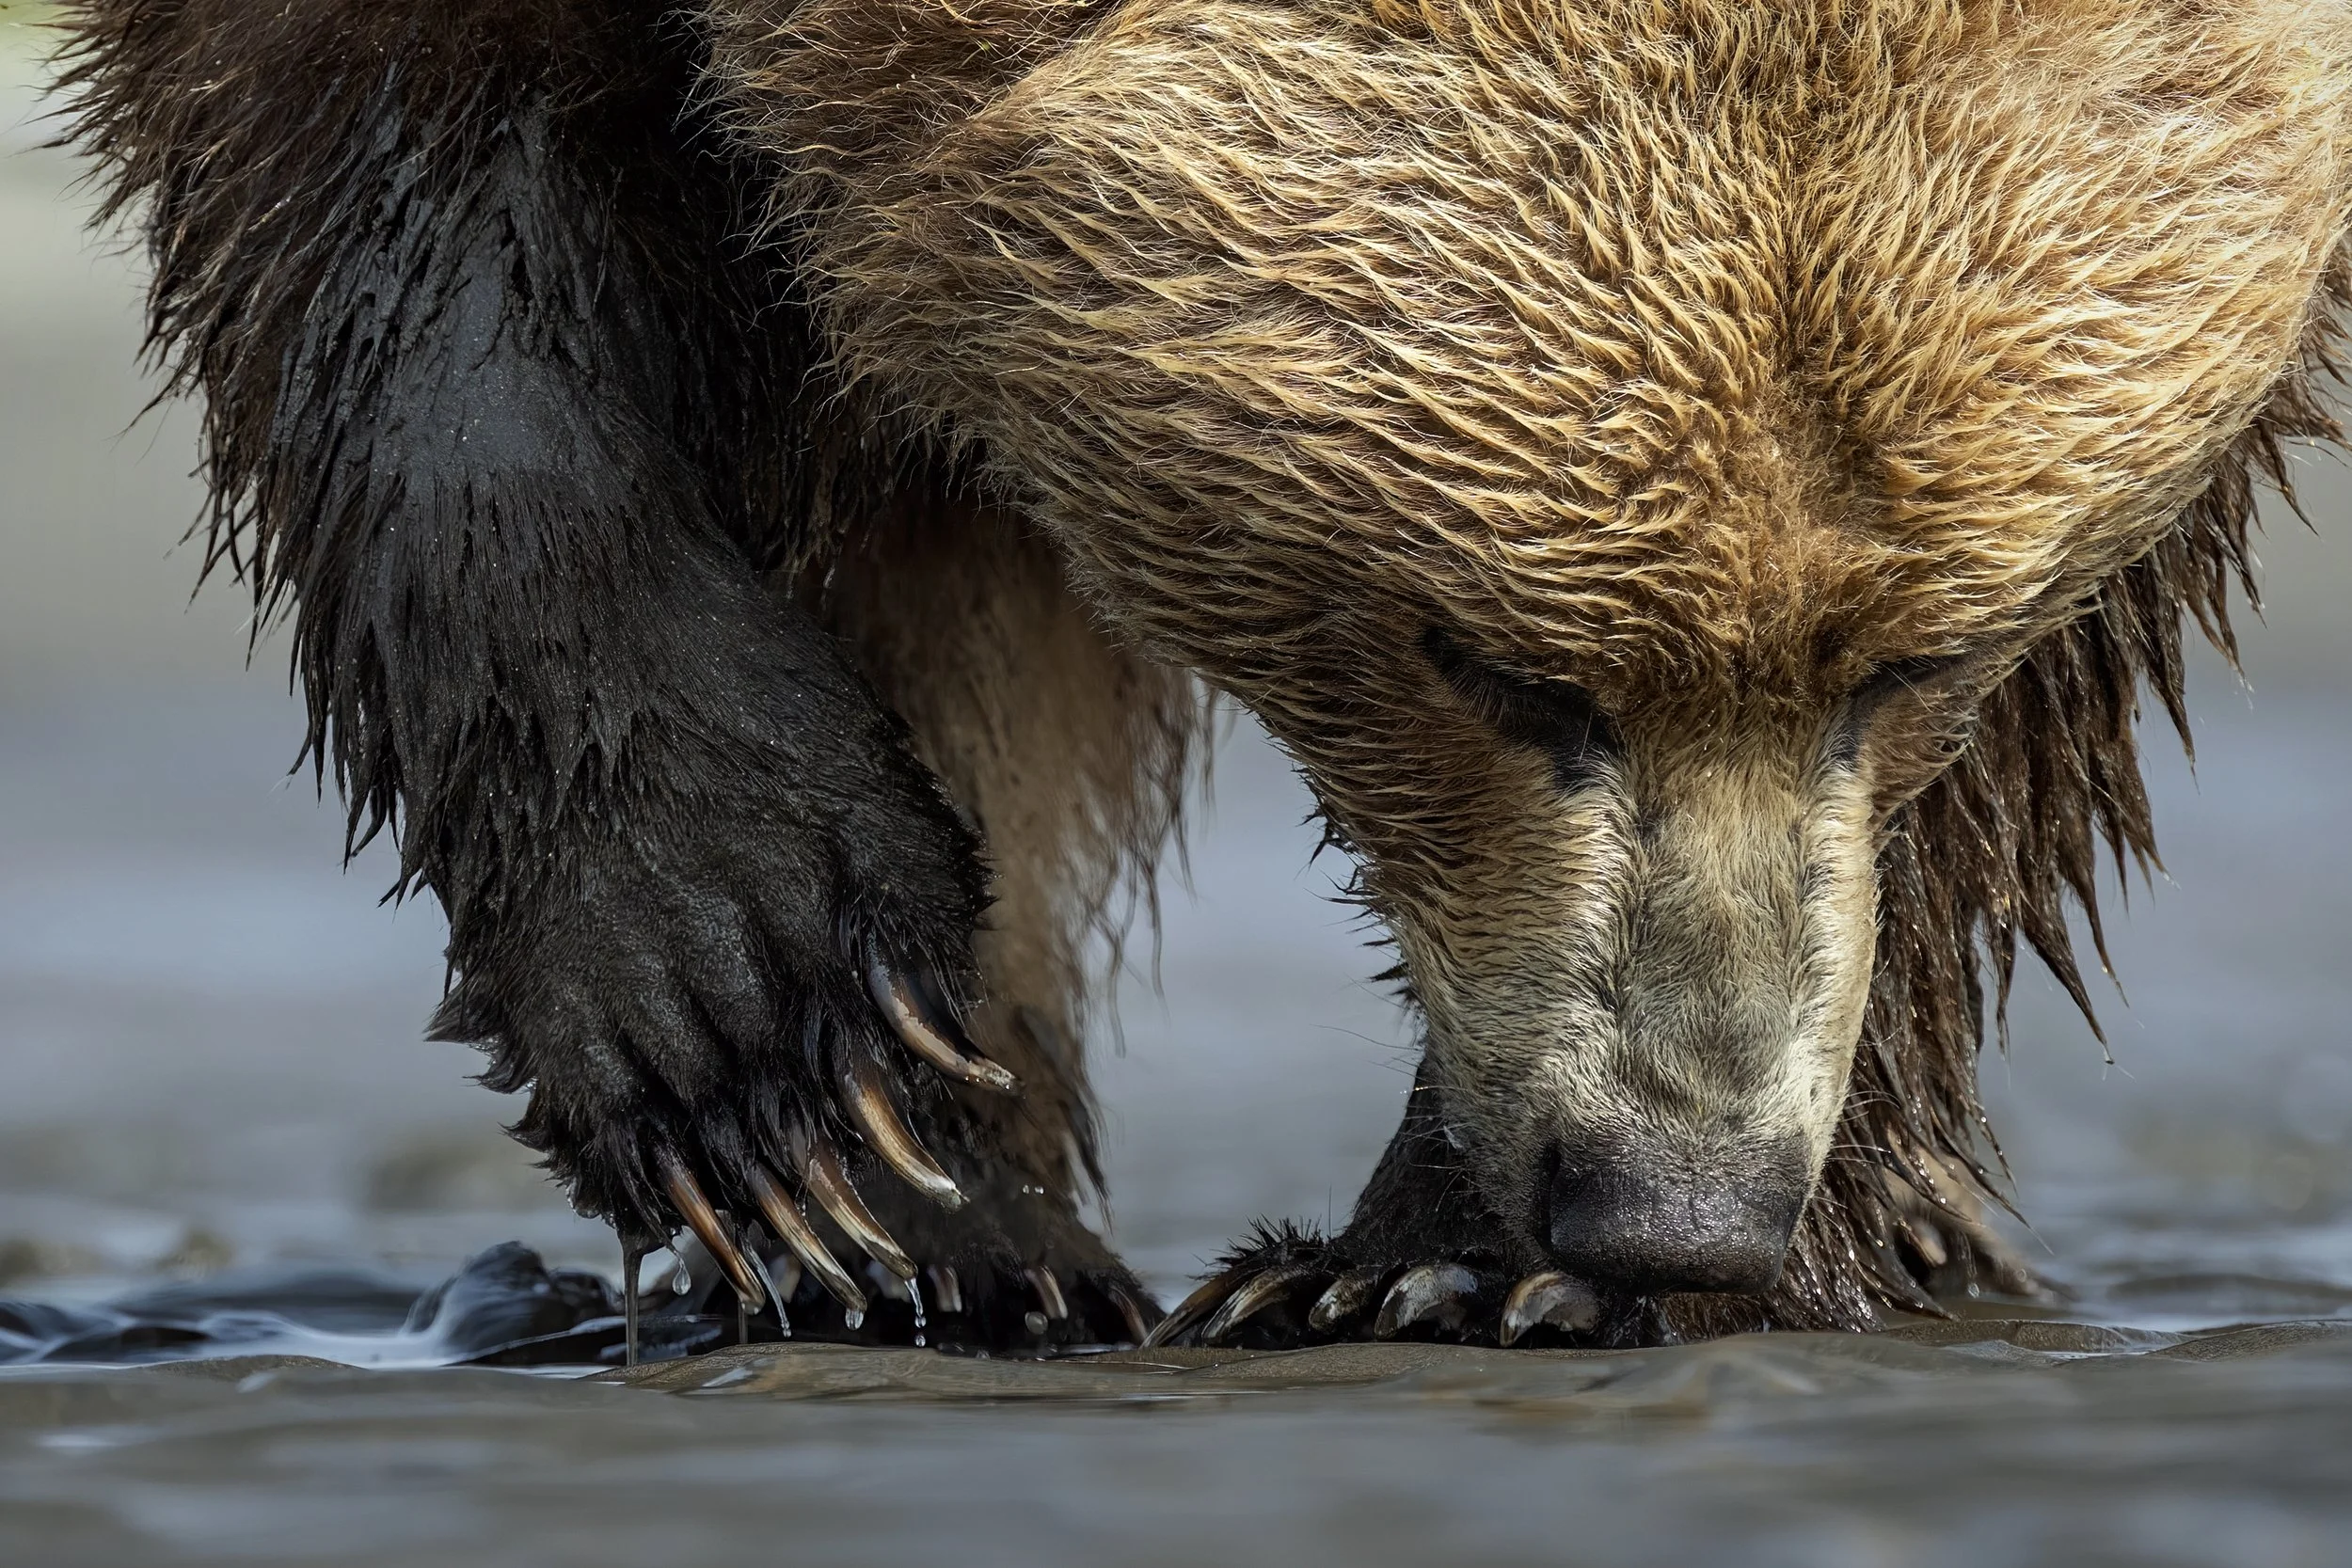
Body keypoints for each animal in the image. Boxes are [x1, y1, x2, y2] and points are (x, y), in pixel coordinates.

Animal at [57, 0, 2352, 1352]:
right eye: (1497, 663)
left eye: (1914, 652)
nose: (1672, 1196)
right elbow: (400, 209)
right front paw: (777, 1031)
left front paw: (1435, 1254)